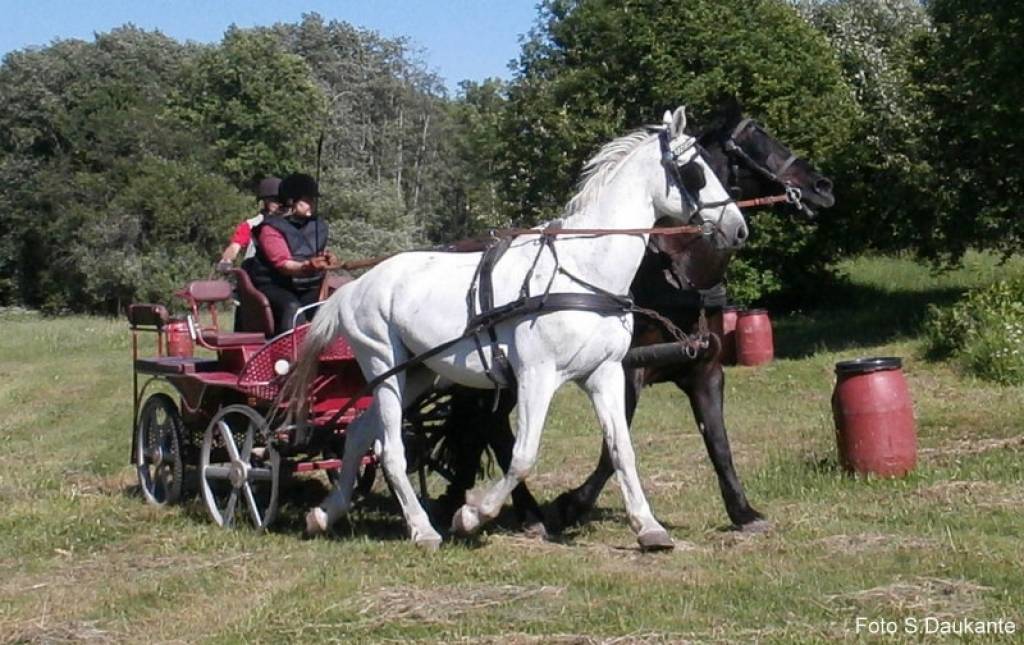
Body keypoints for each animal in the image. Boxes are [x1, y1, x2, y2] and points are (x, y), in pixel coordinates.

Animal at [292, 107, 749, 552]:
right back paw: (423, 529)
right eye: (696, 171)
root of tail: (355, 286)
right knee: (390, 449)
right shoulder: (536, 375)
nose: (738, 227)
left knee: (357, 433)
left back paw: (323, 515)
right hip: (384, 366)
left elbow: (622, 450)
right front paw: (471, 516)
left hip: (417, 373)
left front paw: (649, 528)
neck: (583, 271)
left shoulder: (605, 373)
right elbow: (524, 454)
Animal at [415, 108, 831, 536]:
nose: (822, 185)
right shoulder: (629, 370)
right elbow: (612, 447)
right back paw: (519, 511)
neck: (676, 274)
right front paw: (571, 505)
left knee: (485, 426)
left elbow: (717, 441)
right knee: (492, 428)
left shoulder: (705, 370)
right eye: (754, 138)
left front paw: (742, 511)